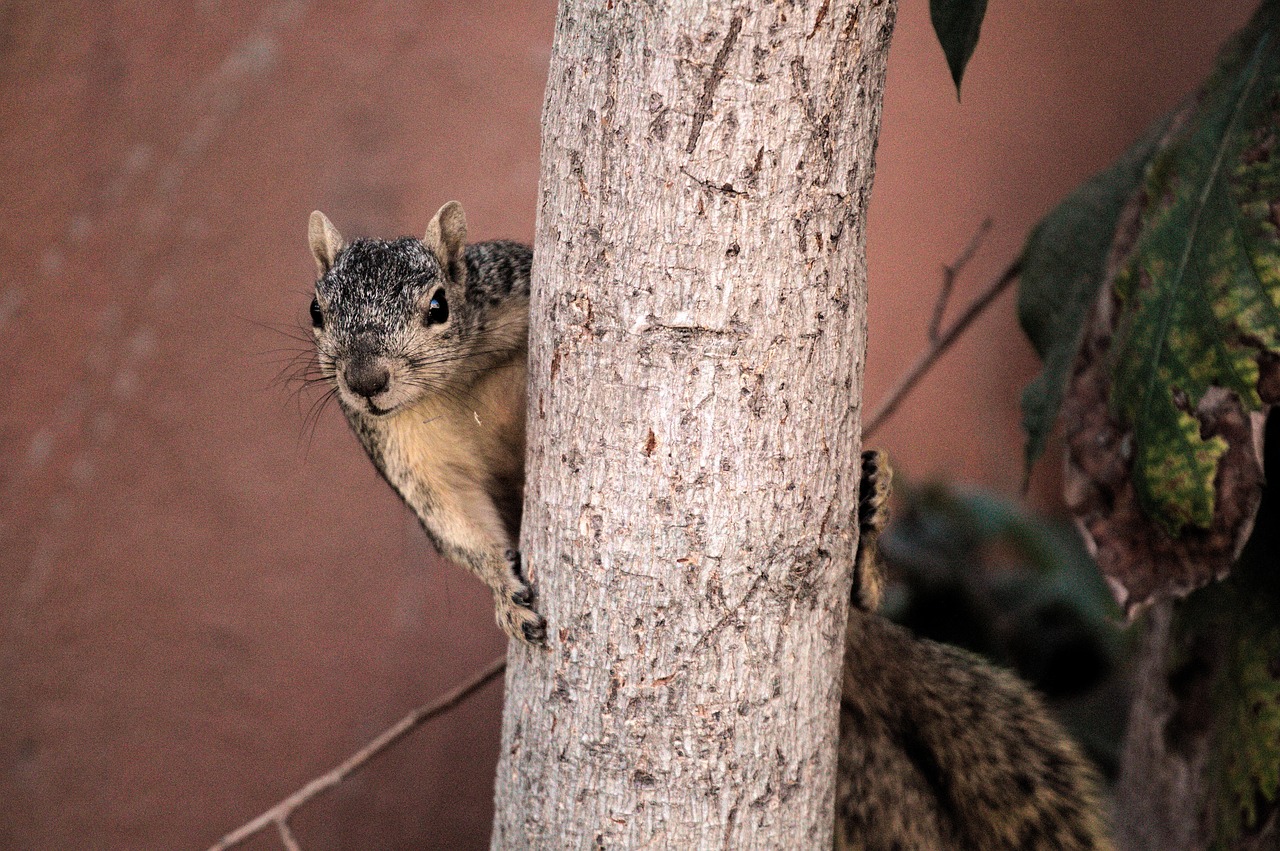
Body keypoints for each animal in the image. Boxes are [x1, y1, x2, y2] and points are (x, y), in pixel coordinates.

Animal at [307, 200, 1111, 844]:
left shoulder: (520, 289)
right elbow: (460, 527)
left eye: (439, 305)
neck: (457, 382)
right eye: (317, 312)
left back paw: (866, 522)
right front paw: (507, 593)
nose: (366, 380)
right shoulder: (406, 452)